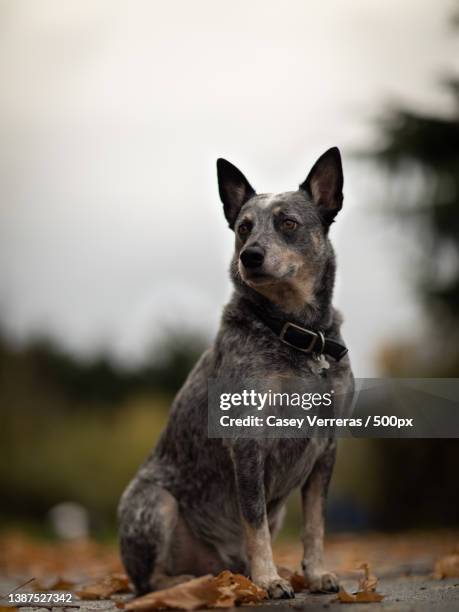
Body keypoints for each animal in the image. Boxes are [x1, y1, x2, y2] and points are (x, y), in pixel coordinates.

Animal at [119, 147, 356, 596]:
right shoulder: (247, 440)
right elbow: (253, 519)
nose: (250, 256)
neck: (296, 334)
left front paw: (316, 574)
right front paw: (269, 579)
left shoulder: (327, 448)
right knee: (148, 581)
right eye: (244, 228)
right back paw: (191, 582)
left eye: (287, 223)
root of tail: (220, 565)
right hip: (154, 501)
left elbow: (315, 525)